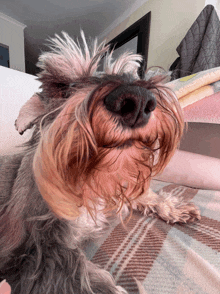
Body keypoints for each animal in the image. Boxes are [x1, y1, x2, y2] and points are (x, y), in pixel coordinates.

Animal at [0, 31, 199, 292]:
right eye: (62, 86)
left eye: (133, 72)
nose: (136, 101)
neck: (88, 181)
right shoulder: (42, 253)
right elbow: (93, 282)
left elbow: (142, 193)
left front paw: (173, 207)